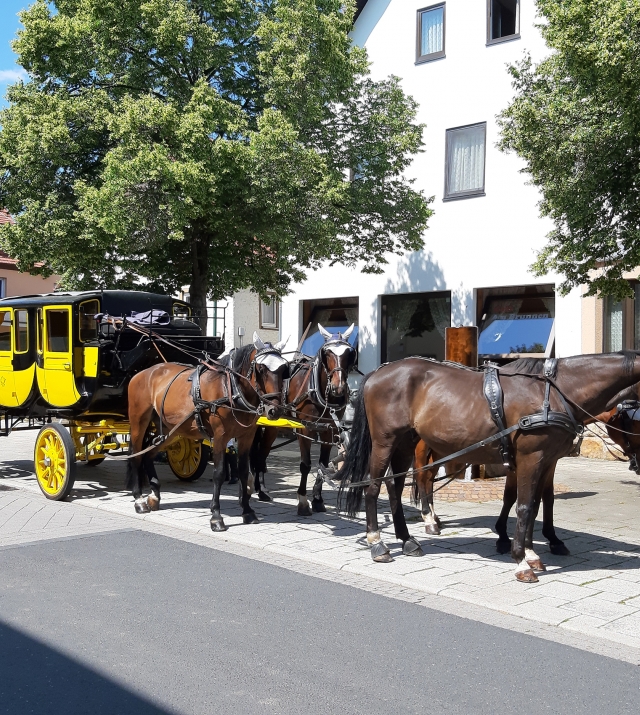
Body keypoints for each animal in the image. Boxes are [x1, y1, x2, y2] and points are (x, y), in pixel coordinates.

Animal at [124, 336, 288, 532]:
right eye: (261, 369)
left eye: (283, 370)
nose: (275, 410)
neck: (230, 388)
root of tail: (143, 373)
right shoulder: (220, 437)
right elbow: (219, 473)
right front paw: (216, 516)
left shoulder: (246, 437)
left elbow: (242, 471)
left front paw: (247, 511)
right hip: (138, 422)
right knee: (136, 455)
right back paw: (138, 499)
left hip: (171, 430)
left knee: (149, 452)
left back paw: (155, 495)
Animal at [250, 328, 358, 516]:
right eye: (327, 353)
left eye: (348, 354)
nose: (338, 388)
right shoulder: (304, 430)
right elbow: (306, 465)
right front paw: (302, 501)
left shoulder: (329, 431)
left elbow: (323, 464)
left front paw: (317, 500)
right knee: (256, 453)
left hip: (272, 426)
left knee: (261, 454)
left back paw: (261, 490)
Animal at [338, 352, 640, 580]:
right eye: (632, 419)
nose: (636, 463)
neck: (557, 391)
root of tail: (378, 372)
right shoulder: (531, 457)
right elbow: (524, 506)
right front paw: (521, 560)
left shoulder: (546, 460)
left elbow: (538, 504)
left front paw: (532, 552)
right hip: (385, 442)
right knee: (374, 488)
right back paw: (378, 543)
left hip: (405, 442)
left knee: (395, 487)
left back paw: (407, 540)